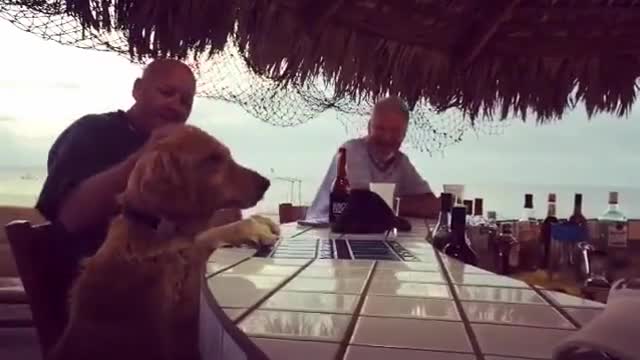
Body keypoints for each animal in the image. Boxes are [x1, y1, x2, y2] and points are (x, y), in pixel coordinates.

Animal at [48, 125, 278, 358]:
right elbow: (205, 239)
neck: (154, 227)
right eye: (212, 159)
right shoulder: (183, 315)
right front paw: (251, 227)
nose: (266, 183)